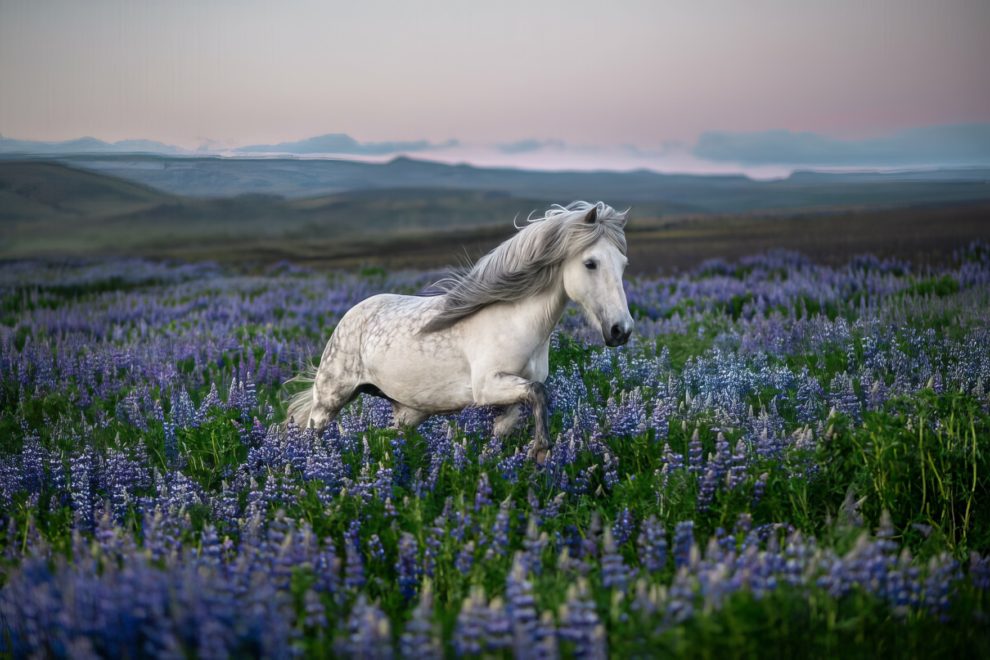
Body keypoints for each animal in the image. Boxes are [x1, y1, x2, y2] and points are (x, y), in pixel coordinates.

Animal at [284, 199, 636, 462]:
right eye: (590, 263)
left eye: (623, 265)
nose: (621, 330)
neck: (516, 322)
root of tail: (351, 314)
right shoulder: (488, 386)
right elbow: (538, 394)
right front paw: (540, 450)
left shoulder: (510, 391)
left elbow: (516, 416)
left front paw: (501, 452)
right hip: (330, 399)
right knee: (311, 432)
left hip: (409, 412)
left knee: (390, 435)